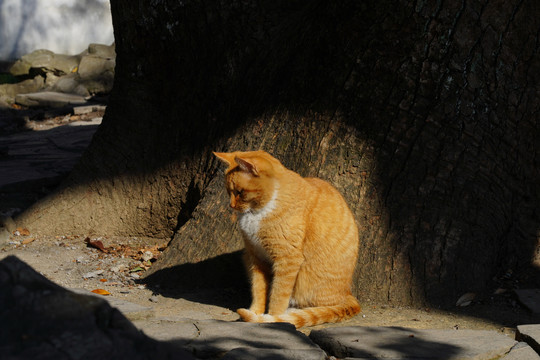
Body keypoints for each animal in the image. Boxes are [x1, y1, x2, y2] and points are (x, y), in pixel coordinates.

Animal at [213, 150, 360, 328]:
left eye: (240, 192)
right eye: (229, 192)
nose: (231, 206)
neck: (257, 212)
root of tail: (348, 293)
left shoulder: (287, 260)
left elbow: (278, 294)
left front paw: (273, 318)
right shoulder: (255, 257)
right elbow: (258, 289)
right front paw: (256, 312)